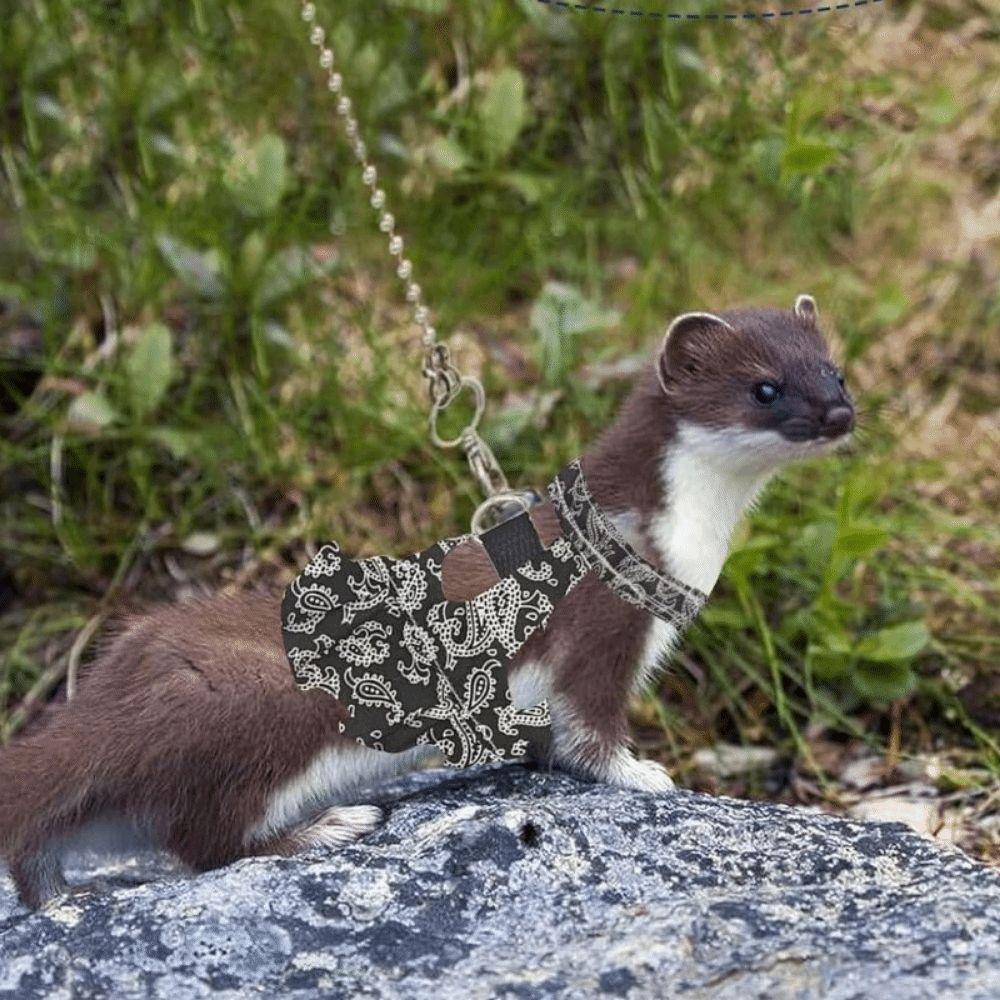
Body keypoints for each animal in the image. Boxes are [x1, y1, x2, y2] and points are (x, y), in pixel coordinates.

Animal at [0, 296, 854, 909]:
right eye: (764, 387)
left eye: (835, 370)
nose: (839, 414)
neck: (673, 540)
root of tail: (111, 688)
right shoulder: (601, 633)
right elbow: (591, 729)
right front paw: (642, 772)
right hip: (264, 711)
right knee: (203, 839)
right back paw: (327, 827)